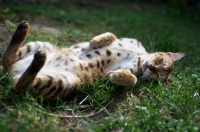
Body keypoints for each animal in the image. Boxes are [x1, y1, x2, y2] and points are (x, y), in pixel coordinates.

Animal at [1, 21, 185, 100]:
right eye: (160, 61)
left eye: (157, 77)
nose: (152, 67)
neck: (140, 56)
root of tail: (10, 72)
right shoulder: (131, 40)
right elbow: (111, 34)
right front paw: (96, 41)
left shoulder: (113, 72)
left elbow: (131, 79)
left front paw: (120, 77)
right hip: (40, 44)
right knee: (6, 60)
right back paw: (22, 30)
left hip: (63, 82)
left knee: (18, 85)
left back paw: (39, 60)